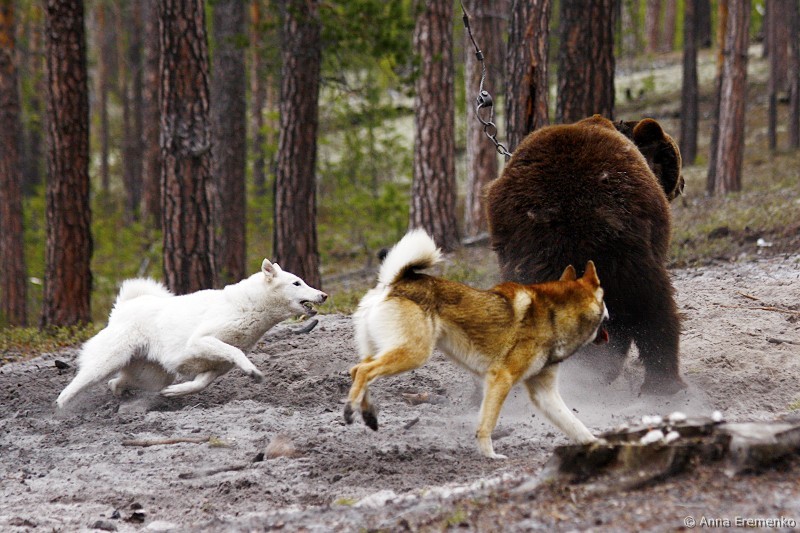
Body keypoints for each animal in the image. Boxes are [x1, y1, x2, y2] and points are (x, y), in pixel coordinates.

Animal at [56, 260, 327, 408]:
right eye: (296, 283)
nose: (323, 295)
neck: (250, 306)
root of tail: (122, 307)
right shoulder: (202, 341)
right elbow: (235, 352)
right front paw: (252, 371)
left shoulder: (214, 368)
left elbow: (198, 385)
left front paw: (174, 393)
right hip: (106, 362)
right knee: (73, 387)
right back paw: (60, 411)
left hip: (152, 375)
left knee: (117, 382)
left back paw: (121, 394)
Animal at [344, 230, 609, 459]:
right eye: (605, 299)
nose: (610, 316)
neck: (554, 315)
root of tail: (394, 282)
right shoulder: (501, 379)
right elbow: (487, 424)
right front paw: (490, 455)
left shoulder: (545, 394)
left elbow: (576, 426)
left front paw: (600, 445)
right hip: (414, 354)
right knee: (364, 371)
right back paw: (350, 410)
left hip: (391, 351)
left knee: (357, 370)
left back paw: (367, 414)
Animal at [485, 114, 685, 395]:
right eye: (673, 158)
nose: (682, 182)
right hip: (628, 252)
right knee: (656, 311)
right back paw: (662, 383)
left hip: (528, 261)